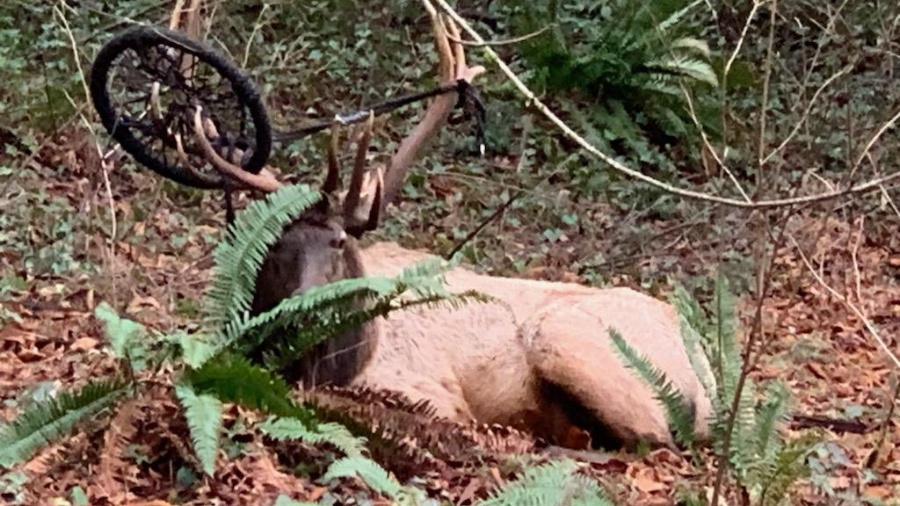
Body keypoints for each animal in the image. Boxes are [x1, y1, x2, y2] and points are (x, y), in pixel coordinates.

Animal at [193, 8, 712, 450]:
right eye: (276, 246)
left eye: (339, 243)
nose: (302, 309)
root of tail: (706, 369)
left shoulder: (428, 390)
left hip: (567, 337)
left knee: (656, 438)